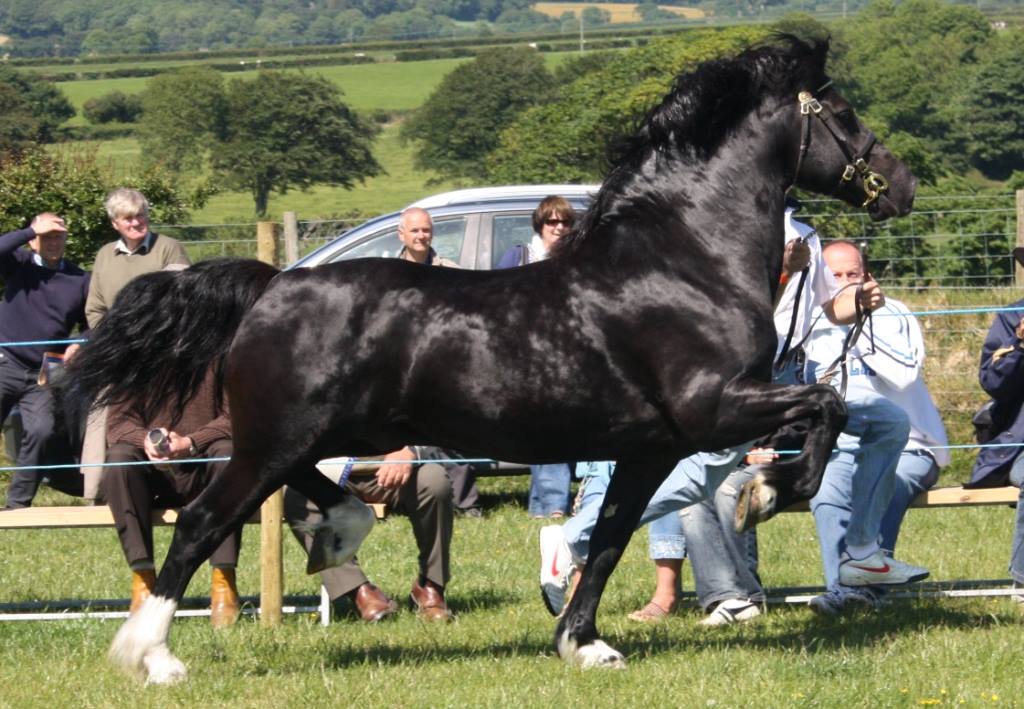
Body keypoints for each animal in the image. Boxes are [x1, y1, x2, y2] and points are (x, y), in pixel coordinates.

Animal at [68, 34, 917, 680]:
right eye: (842, 112)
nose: (901, 185)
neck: (681, 260)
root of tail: (273, 283)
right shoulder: (715, 405)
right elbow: (826, 406)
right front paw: (766, 493)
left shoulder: (651, 446)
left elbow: (609, 537)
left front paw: (584, 643)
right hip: (277, 437)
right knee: (203, 520)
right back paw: (153, 657)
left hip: (320, 432)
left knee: (305, 492)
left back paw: (342, 530)